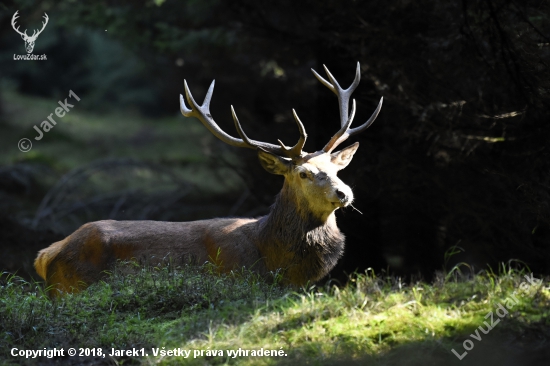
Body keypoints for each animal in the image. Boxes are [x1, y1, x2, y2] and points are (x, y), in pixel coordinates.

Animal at [34, 63, 384, 296]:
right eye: (304, 173)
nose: (343, 193)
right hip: (71, 286)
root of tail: (46, 254)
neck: (275, 257)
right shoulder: (238, 275)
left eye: (337, 169)